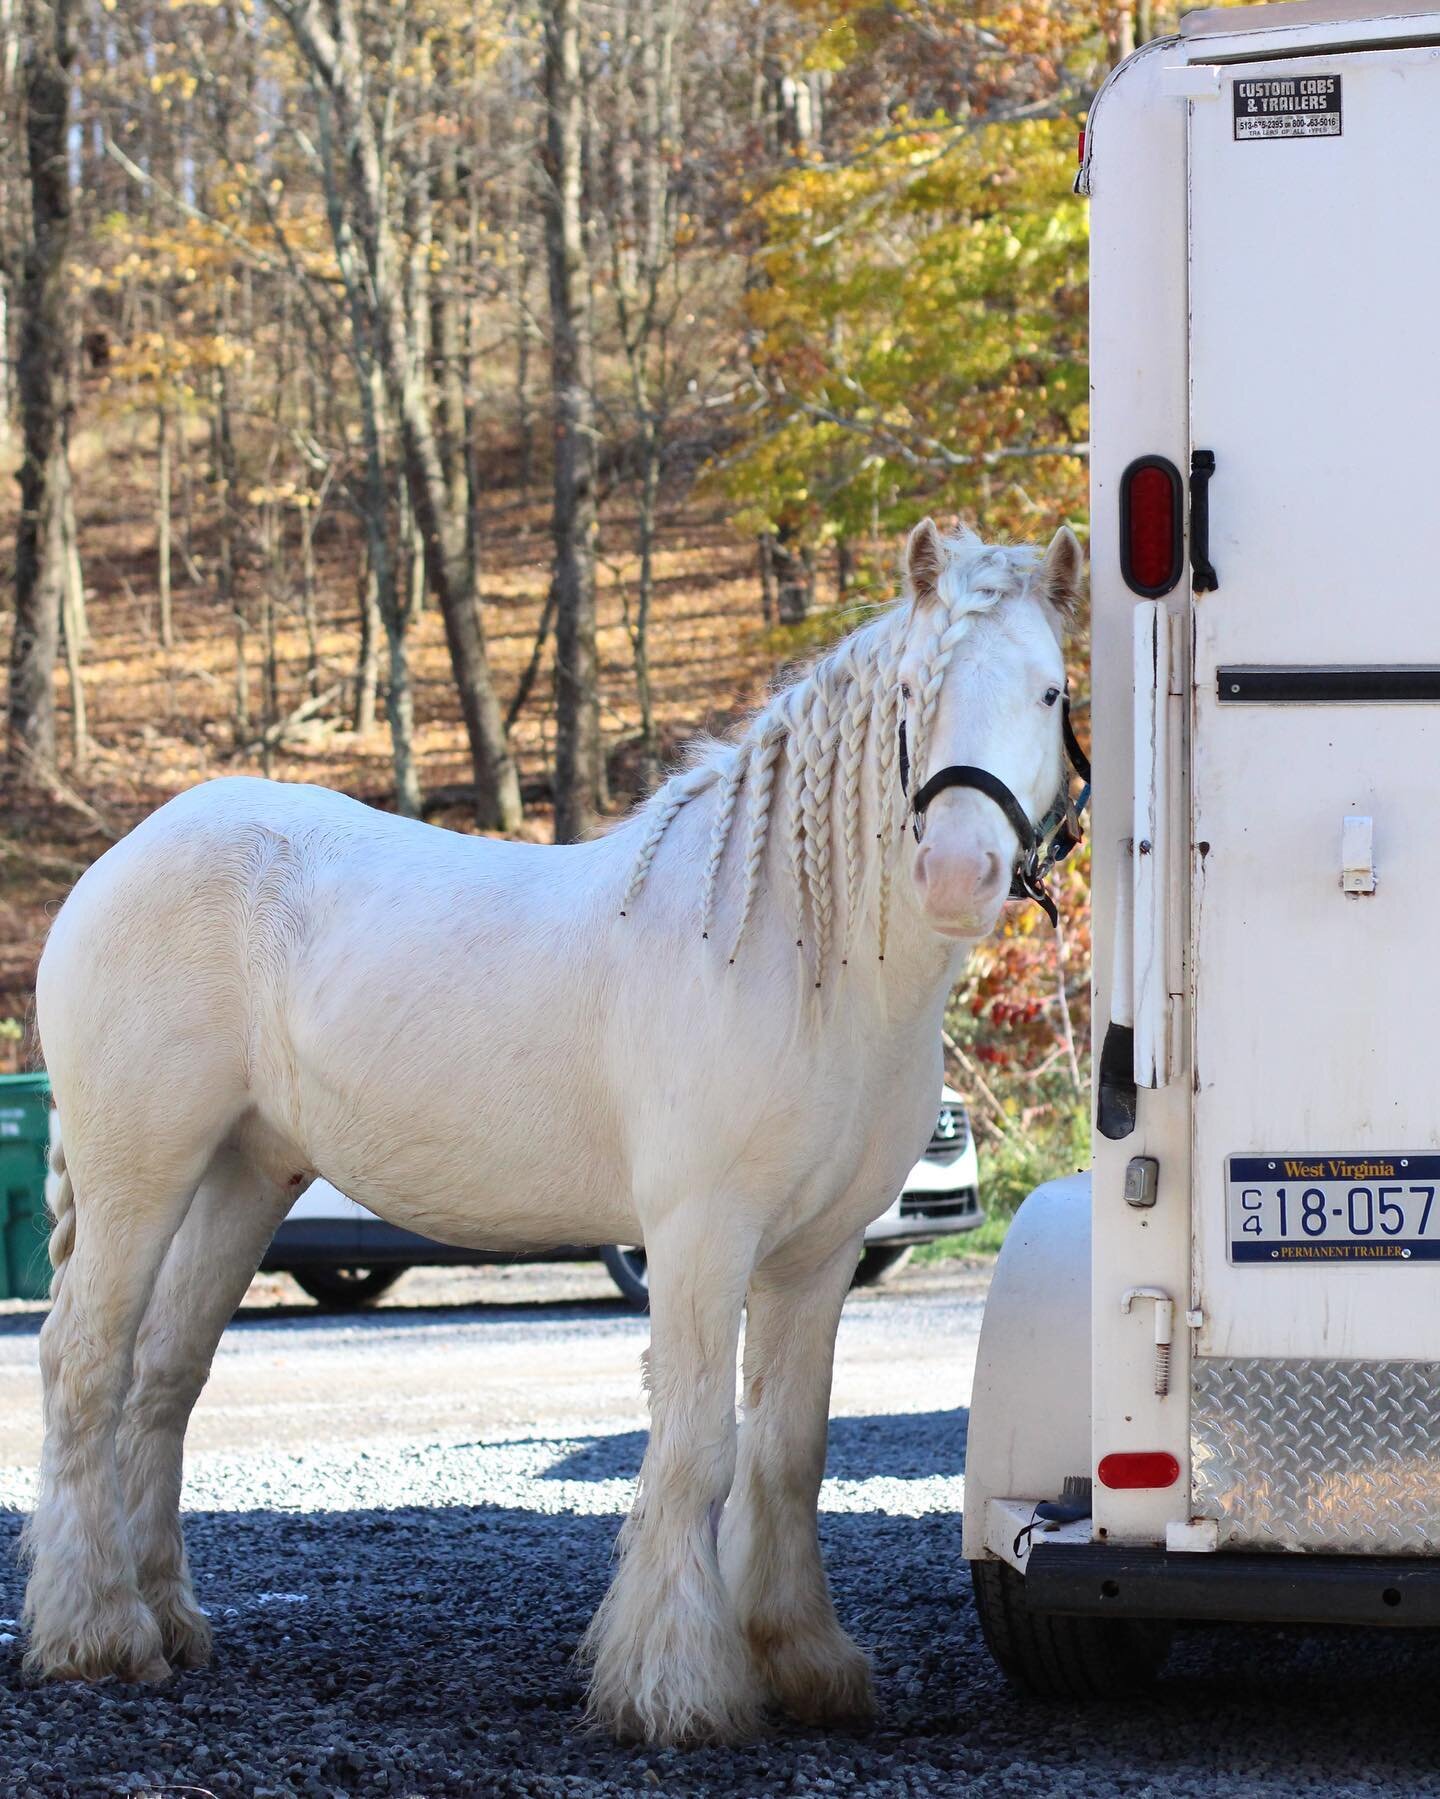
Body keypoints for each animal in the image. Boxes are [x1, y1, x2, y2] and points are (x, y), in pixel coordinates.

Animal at [22, 518, 1080, 1741]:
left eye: (1051, 690)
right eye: (913, 689)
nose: (955, 873)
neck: (795, 956)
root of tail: (119, 859)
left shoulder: (817, 1256)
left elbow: (789, 1450)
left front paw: (805, 1662)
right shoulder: (700, 1236)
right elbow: (698, 1446)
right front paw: (677, 1686)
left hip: (240, 1177)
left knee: (164, 1376)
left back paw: (167, 1620)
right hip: (138, 1175)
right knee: (85, 1363)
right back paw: (95, 1633)